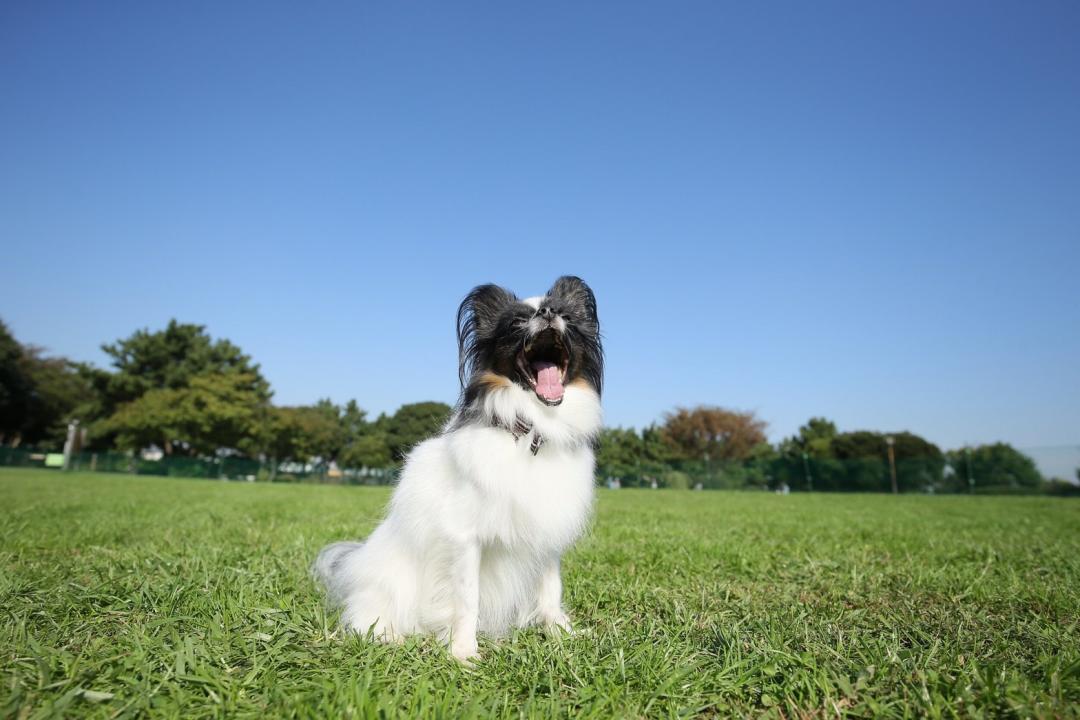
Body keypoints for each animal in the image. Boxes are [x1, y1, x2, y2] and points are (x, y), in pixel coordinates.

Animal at [313, 278, 604, 660]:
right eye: (517, 322)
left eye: (567, 317)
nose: (547, 312)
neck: (533, 431)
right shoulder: (466, 536)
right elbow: (467, 599)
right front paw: (464, 652)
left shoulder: (547, 531)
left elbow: (551, 589)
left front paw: (560, 634)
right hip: (390, 582)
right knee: (369, 616)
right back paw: (392, 637)